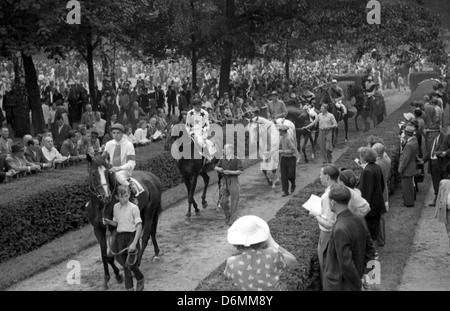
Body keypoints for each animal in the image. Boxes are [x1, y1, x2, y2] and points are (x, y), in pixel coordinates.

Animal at [85, 155, 162, 292]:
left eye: (107, 173)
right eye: (93, 174)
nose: (106, 196)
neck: (101, 206)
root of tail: (153, 177)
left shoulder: (114, 228)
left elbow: (110, 256)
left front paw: (118, 276)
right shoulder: (98, 230)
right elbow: (104, 255)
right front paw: (107, 279)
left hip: (149, 212)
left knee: (145, 236)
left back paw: (138, 262)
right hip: (143, 213)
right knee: (152, 232)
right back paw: (156, 253)